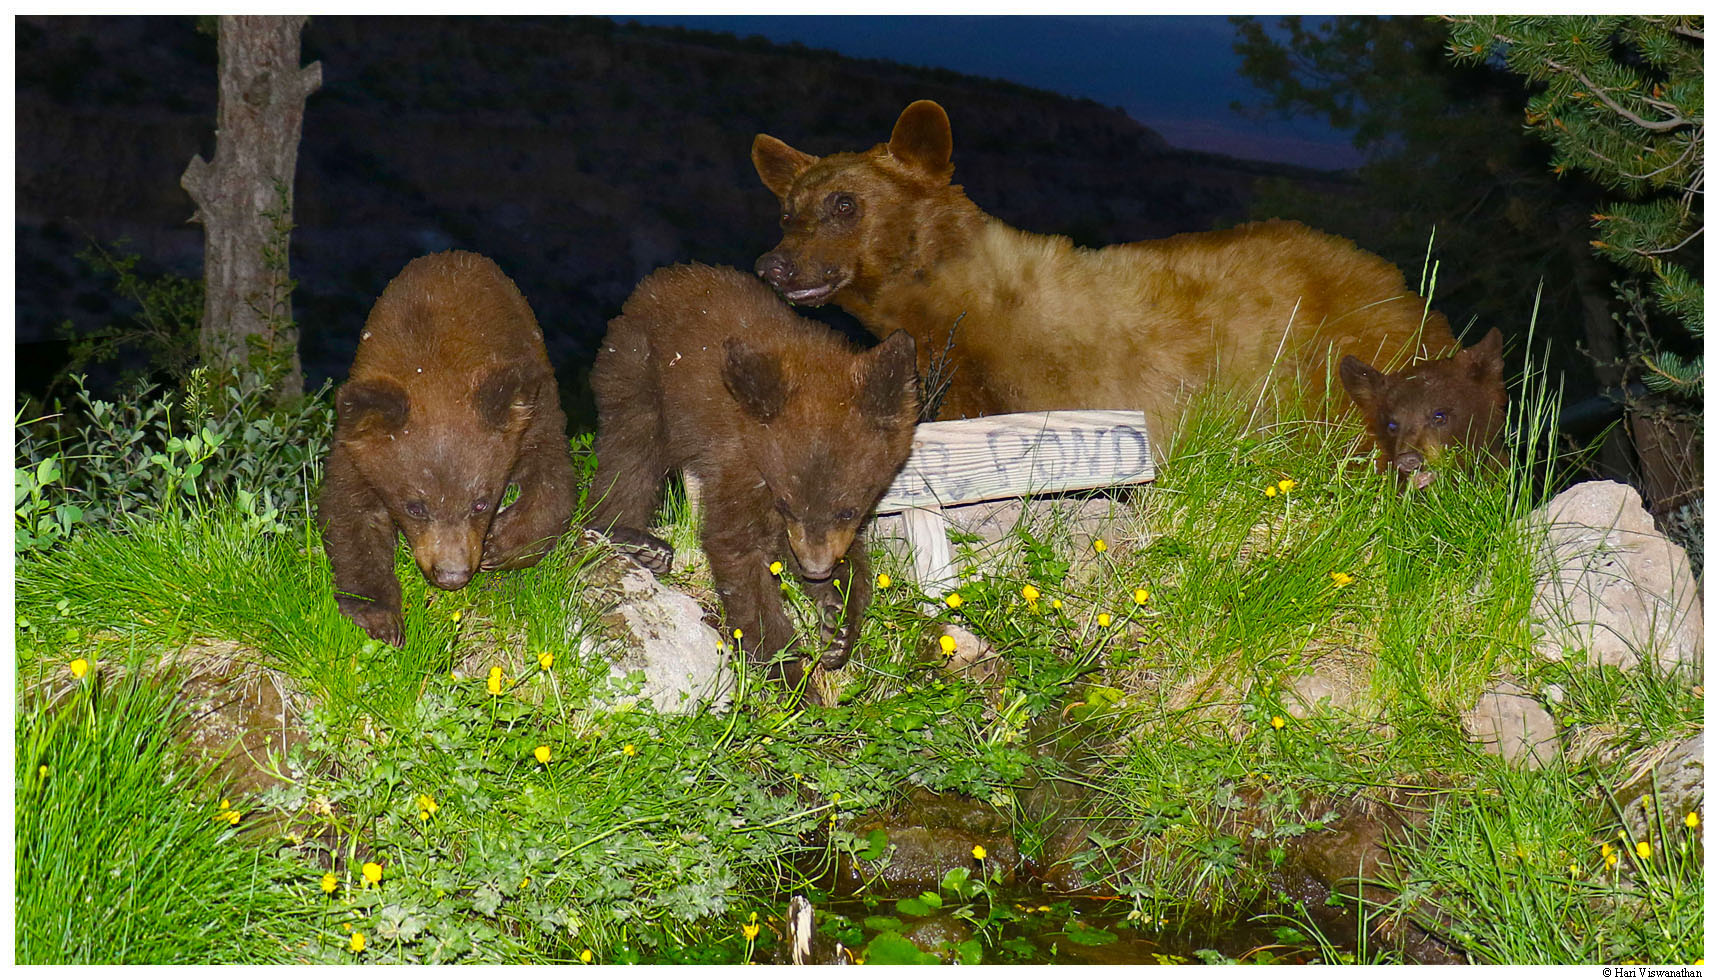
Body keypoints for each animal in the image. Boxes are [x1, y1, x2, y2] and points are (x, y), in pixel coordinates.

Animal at [318, 250, 576, 645]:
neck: (436, 364)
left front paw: (502, 544)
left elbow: (554, 478)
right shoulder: (355, 445)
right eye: (415, 506)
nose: (452, 575)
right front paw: (379, 615)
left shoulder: (532, 416)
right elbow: (348, 513)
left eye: (480, 502)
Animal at [587, 263, 920, 687]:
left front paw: (839, 622)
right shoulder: (740, 467)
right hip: (637, 369)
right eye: (787, 503)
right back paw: (634, 541)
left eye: (847, 509)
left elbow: (842, 552)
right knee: (630, 453)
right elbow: (739, 555)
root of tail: (660, 279)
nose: (816, 570)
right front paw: (794, 681)